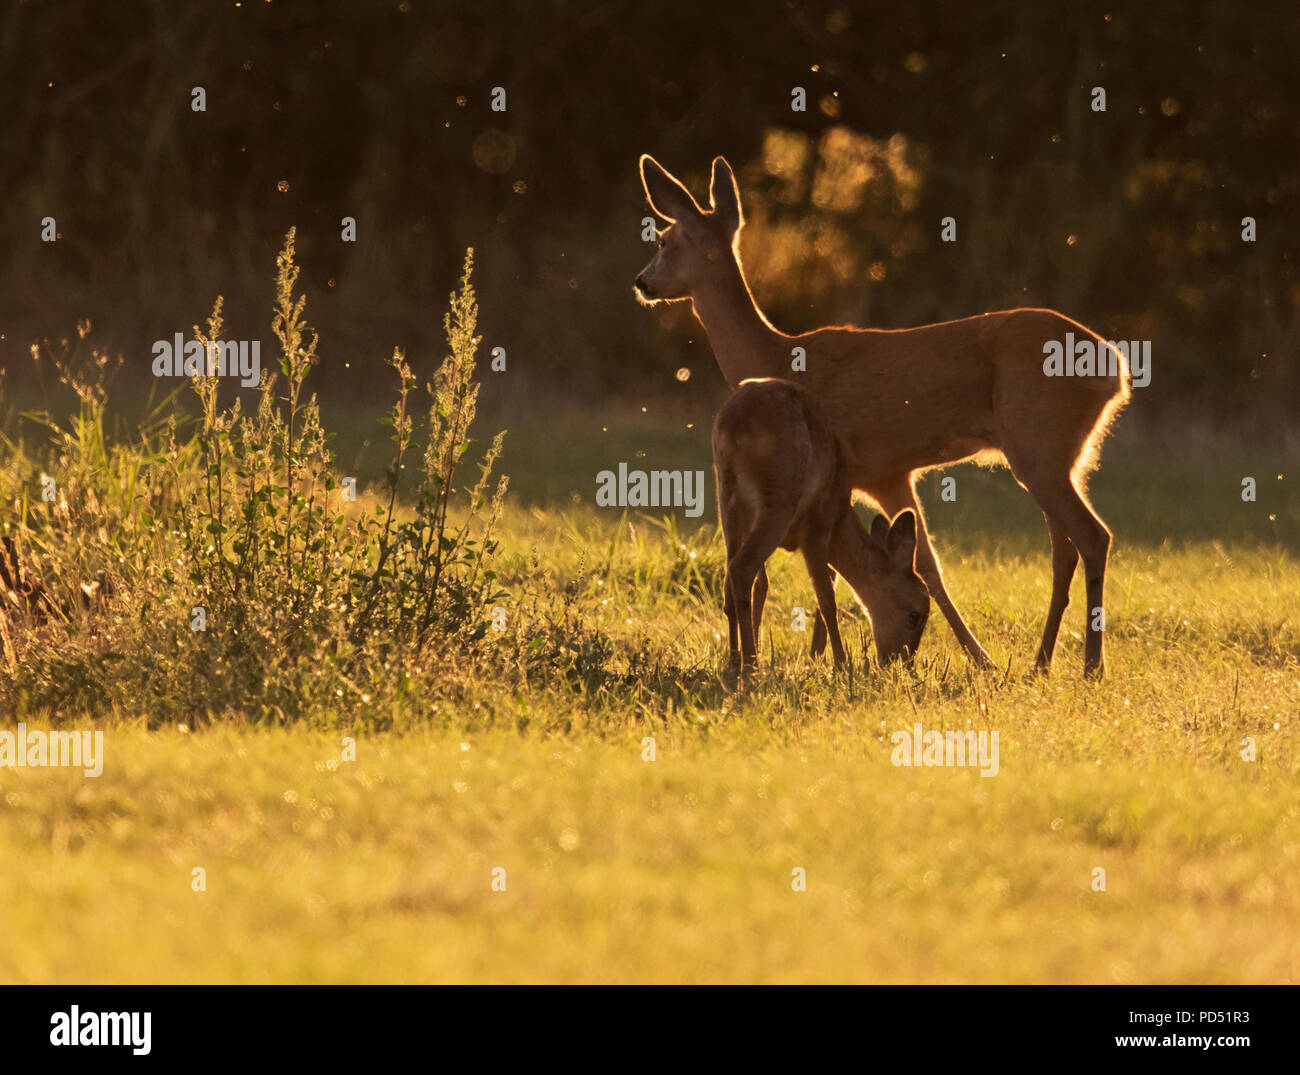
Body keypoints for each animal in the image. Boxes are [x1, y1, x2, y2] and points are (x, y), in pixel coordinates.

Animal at [714, 376, 930, 672]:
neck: (839, 518)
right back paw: (750, 666)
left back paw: (736, 659)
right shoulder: (816, 528)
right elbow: (826, 598)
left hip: (727, 501)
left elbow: (765, 584)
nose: (900, 661)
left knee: (730, 578)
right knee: (741, 568)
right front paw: (842, 663)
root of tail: (733, 421)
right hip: (779, 499)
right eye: (914, 615)